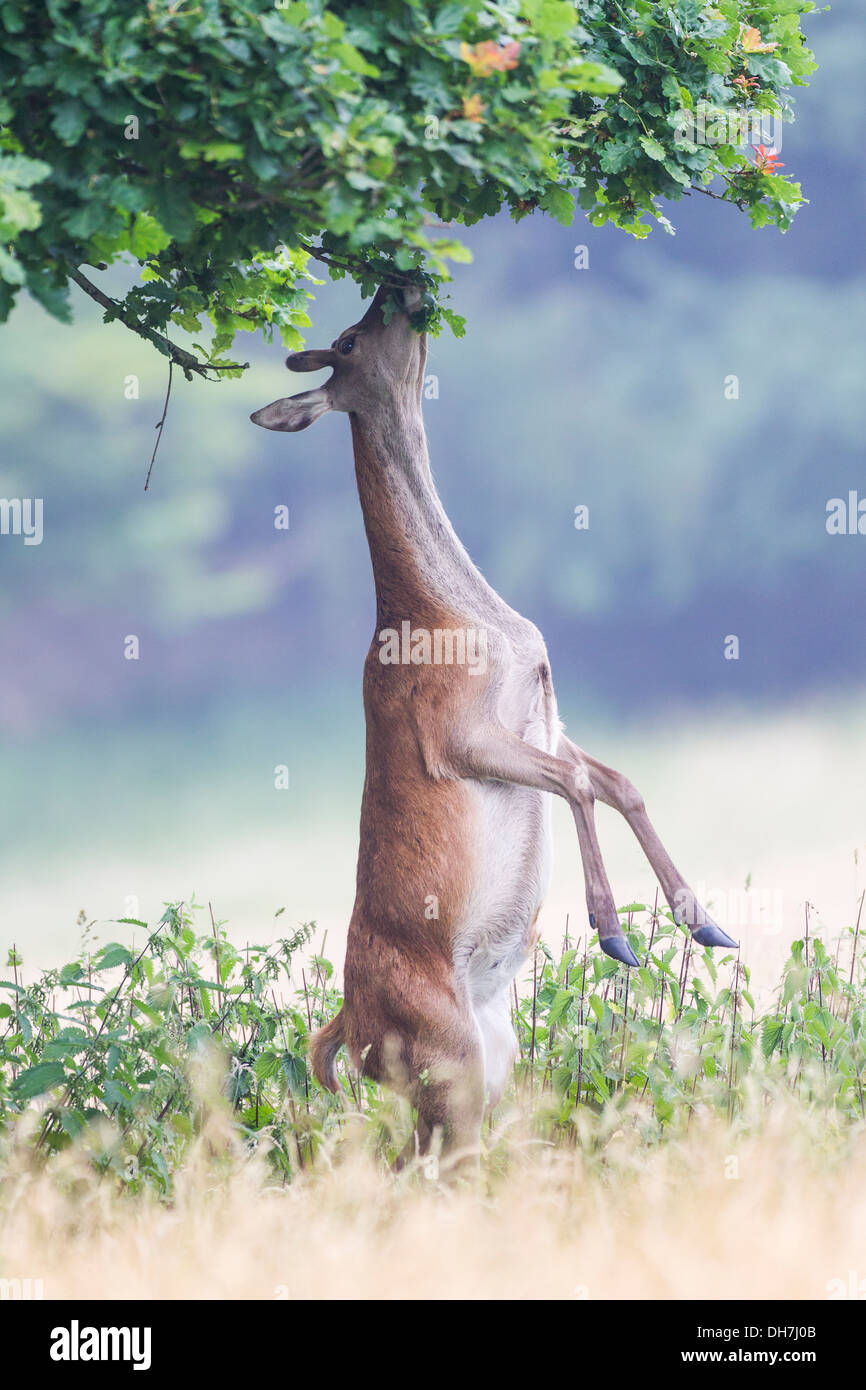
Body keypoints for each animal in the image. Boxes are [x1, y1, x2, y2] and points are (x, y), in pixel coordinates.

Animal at [250, 287, 739, 1178]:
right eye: (348, 338)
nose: (398, 285)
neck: (466, 621)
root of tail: (344, 1029)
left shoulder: (546, 715)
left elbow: (620, 781)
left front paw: (708, 923)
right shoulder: (458, 733)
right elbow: (580, 784)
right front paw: (615, 936)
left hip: (489, 1056)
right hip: (442, 1055)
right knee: (426, 1167)